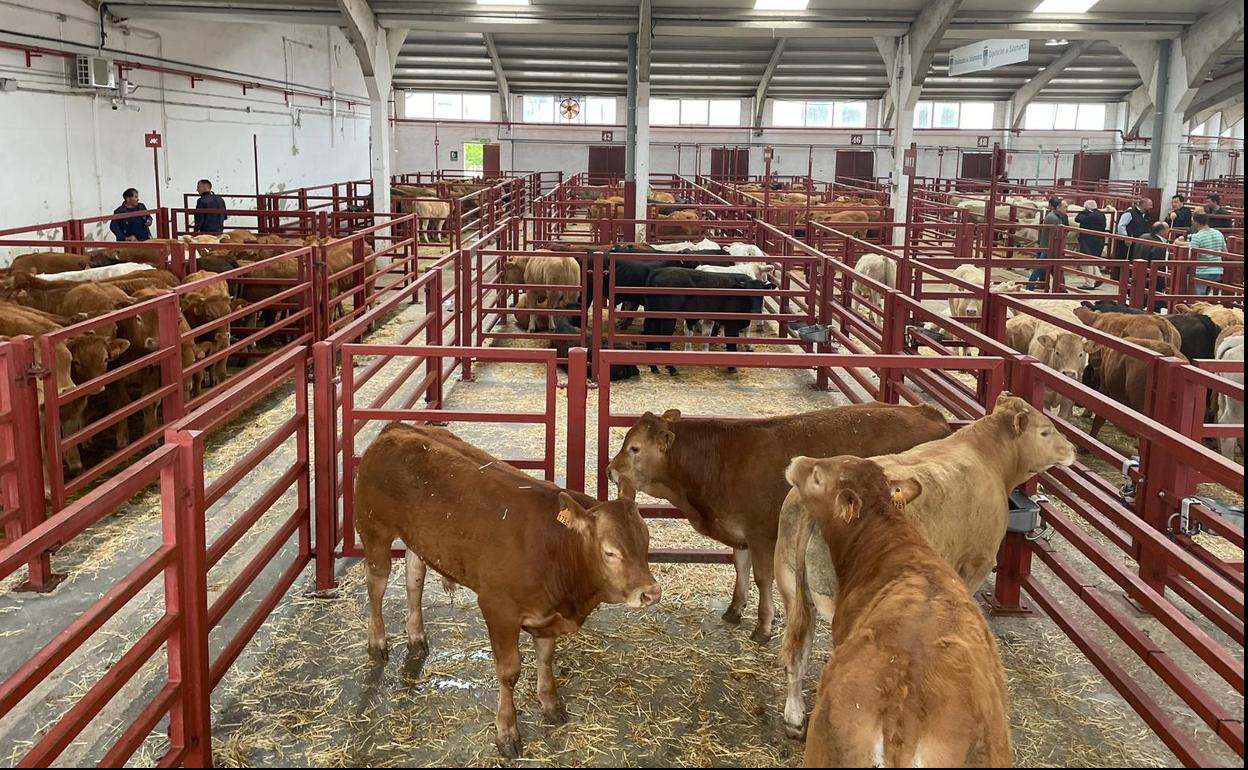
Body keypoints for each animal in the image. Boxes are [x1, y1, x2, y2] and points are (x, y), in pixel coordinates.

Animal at [354, 424, 663, 753]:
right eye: (610, 552)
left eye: (645, 540)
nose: (651, 593)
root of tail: (398, 428)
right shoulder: (497, 609)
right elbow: (509, 672)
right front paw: (507, 732)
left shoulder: (547, 615)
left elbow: (546, 657)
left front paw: (551, 704)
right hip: (374, 531)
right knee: (377, 585)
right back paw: (377, 642)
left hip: (418, 538)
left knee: (415, 578)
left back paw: (416, 636)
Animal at [604, 401, 943, 643]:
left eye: (634, 448)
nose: (609, 470)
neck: (716, 462)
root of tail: (925, 411)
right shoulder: (739, 533)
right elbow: (741, 568)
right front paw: (735, 609)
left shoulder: (761, 534)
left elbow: (762, 578)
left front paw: (764, 626)